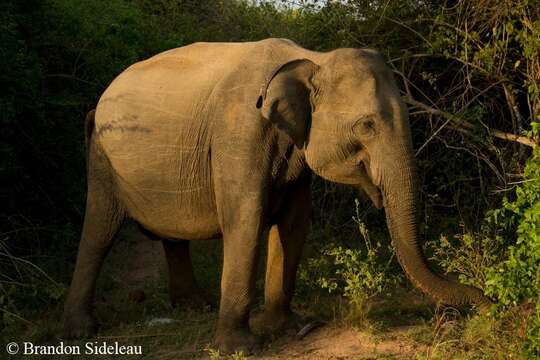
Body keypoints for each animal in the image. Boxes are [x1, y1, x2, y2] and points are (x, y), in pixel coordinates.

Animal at [62, 38, 490, 352]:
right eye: (367, 126)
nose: (488, 300)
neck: (311, 60)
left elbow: (294, 222)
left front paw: (288, 327)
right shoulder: (238, 132)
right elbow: (246, 219)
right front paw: (240, 348)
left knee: (170, 234)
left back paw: (193, 306)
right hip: (102, 157)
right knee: (99, 230)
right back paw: (81, 331)